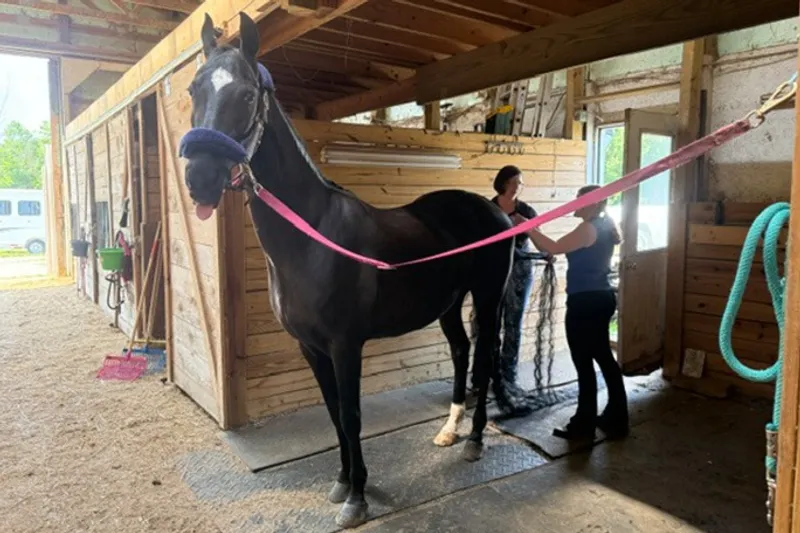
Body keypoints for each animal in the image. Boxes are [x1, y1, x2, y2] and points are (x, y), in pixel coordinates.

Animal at [180, 12, 528, 529]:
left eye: (245, 95)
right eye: (193, 89)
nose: (200, 180)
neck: (313, 237)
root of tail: (493, 210)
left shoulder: (346, 345)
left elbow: (350, 416)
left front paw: (358, 497)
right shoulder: (310, 347)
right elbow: (332, 414)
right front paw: (342, 481)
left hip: (486, 300)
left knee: (483, 361)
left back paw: (475, 441)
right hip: (448, 304)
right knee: (461, 353)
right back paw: (449, 431)